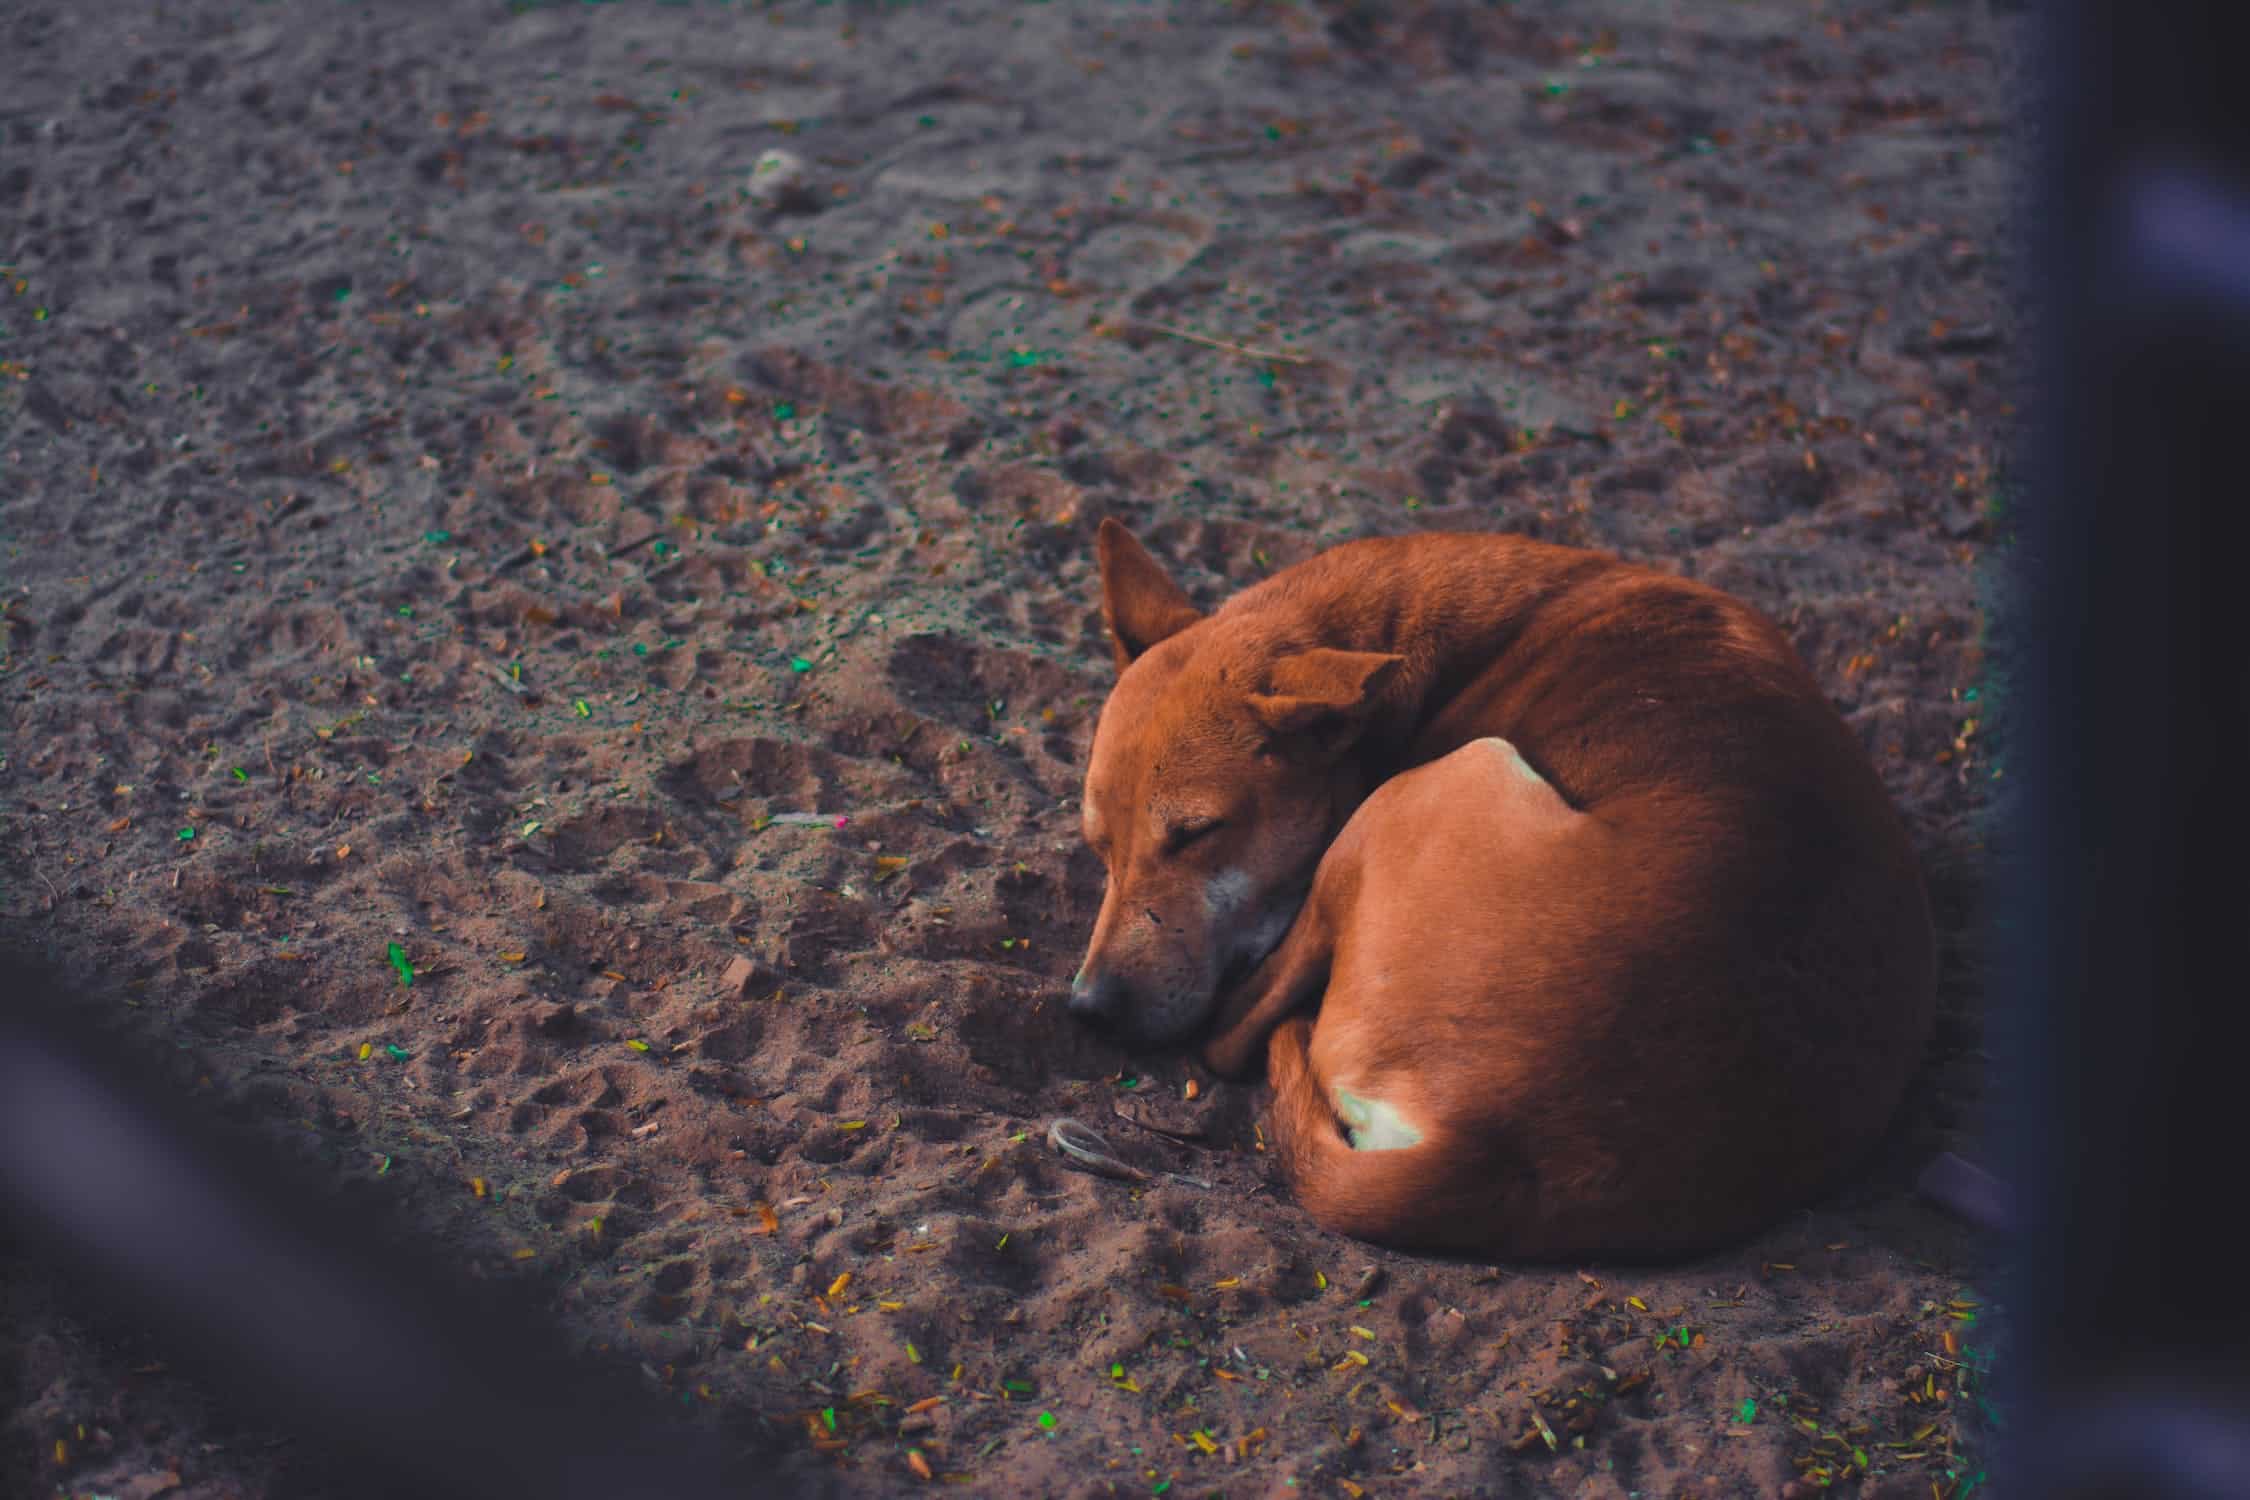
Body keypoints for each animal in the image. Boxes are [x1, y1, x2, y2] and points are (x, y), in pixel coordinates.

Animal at [1071, 521, 1935, 1259]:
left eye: (1196, 833)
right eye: (1097, 846)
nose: (1089, 1009)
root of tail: (1497, 1150)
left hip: (1433, 786)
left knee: (1234, 1031)